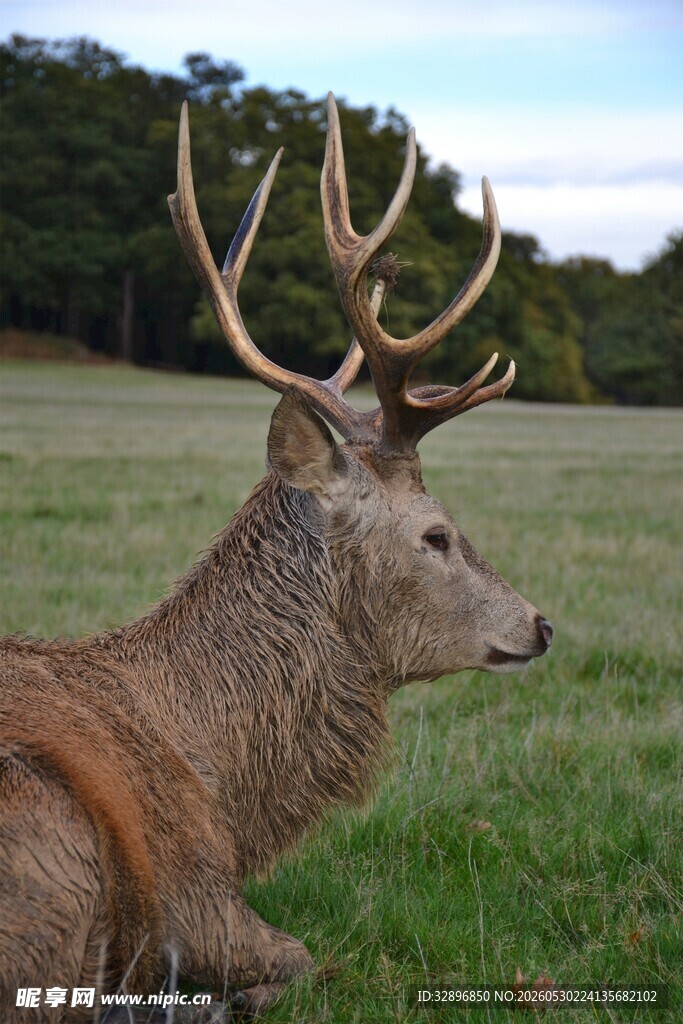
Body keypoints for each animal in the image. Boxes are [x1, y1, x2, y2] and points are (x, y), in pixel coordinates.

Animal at [0, 94, 552, 1021]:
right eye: (435, 533)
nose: (541, 625)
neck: (224, 787)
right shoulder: (193, 895)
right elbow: (303, 956)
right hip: (48, 857)